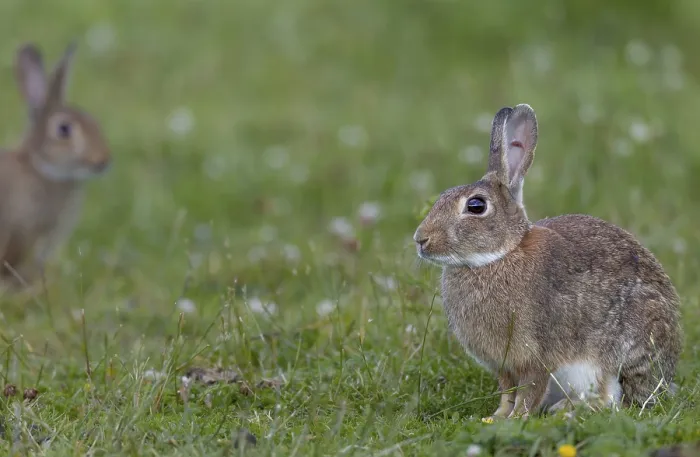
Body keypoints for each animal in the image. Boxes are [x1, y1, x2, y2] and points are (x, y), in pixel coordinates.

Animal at [413, 104, 682, 419]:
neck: (499, 256)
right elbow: (507, 392)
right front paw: (495, 417)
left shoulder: (535, 355)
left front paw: (517, 419)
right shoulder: (505, 366)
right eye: (442, 196)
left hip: (615, 354)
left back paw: (567, 410)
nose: (421, 239)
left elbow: (530, 391)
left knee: (610, 398)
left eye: (476, 206)